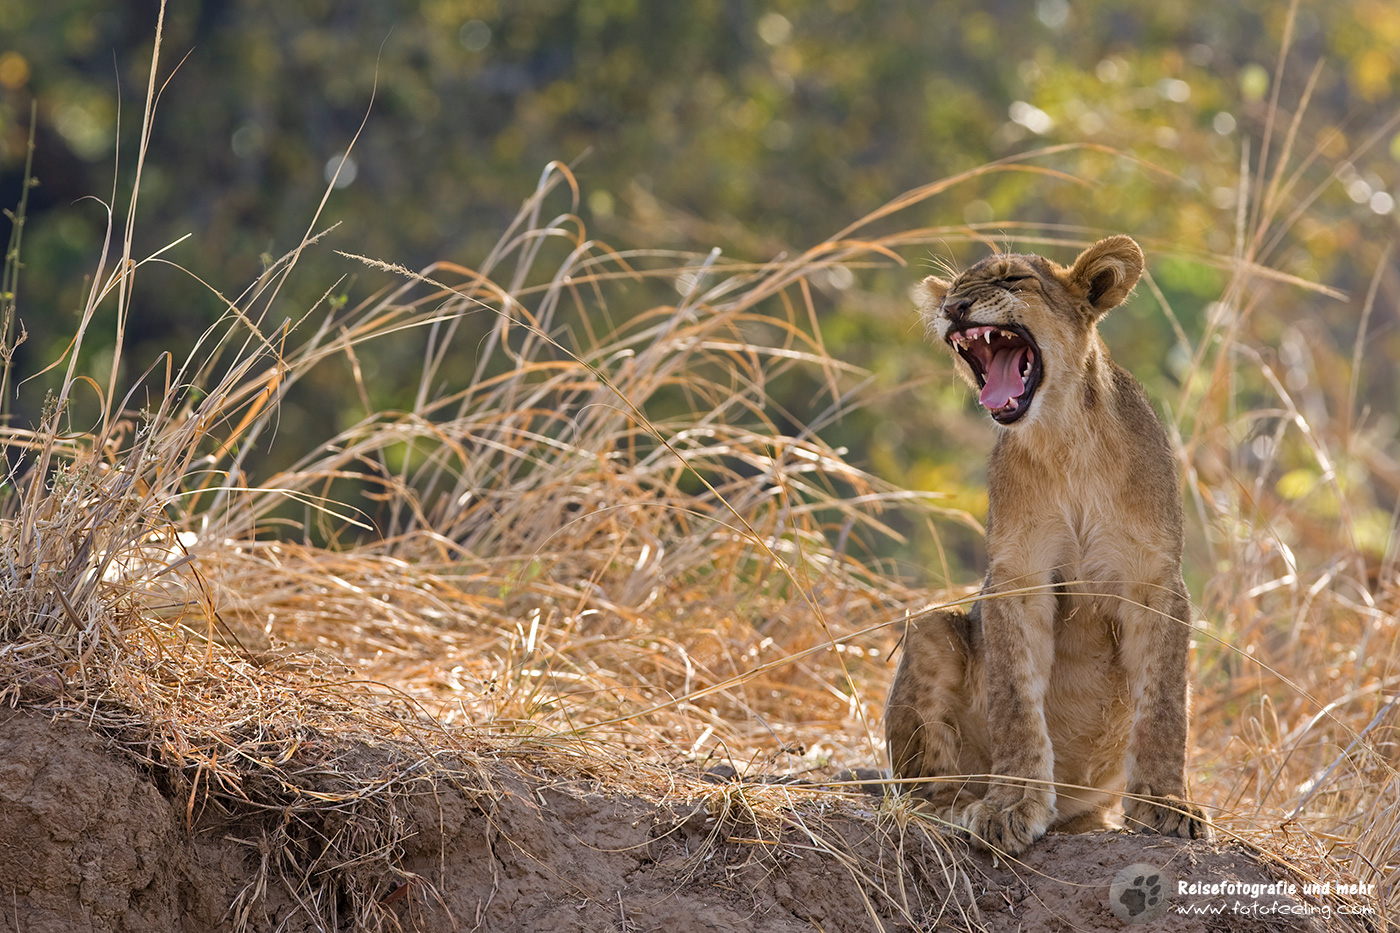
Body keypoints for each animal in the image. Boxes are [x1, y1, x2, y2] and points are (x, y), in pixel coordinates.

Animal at [884, 235, 1209, 855]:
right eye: (955, 287)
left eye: (1012, 279)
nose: (953, 308)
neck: (1065, 438)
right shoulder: (1018, 575)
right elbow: (1015, 696)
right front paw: (1011, 805)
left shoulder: (1155, 578)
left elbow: (1164, 704)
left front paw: (1165, 806)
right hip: (932, 629)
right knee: (919, 789)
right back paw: (957, 808)